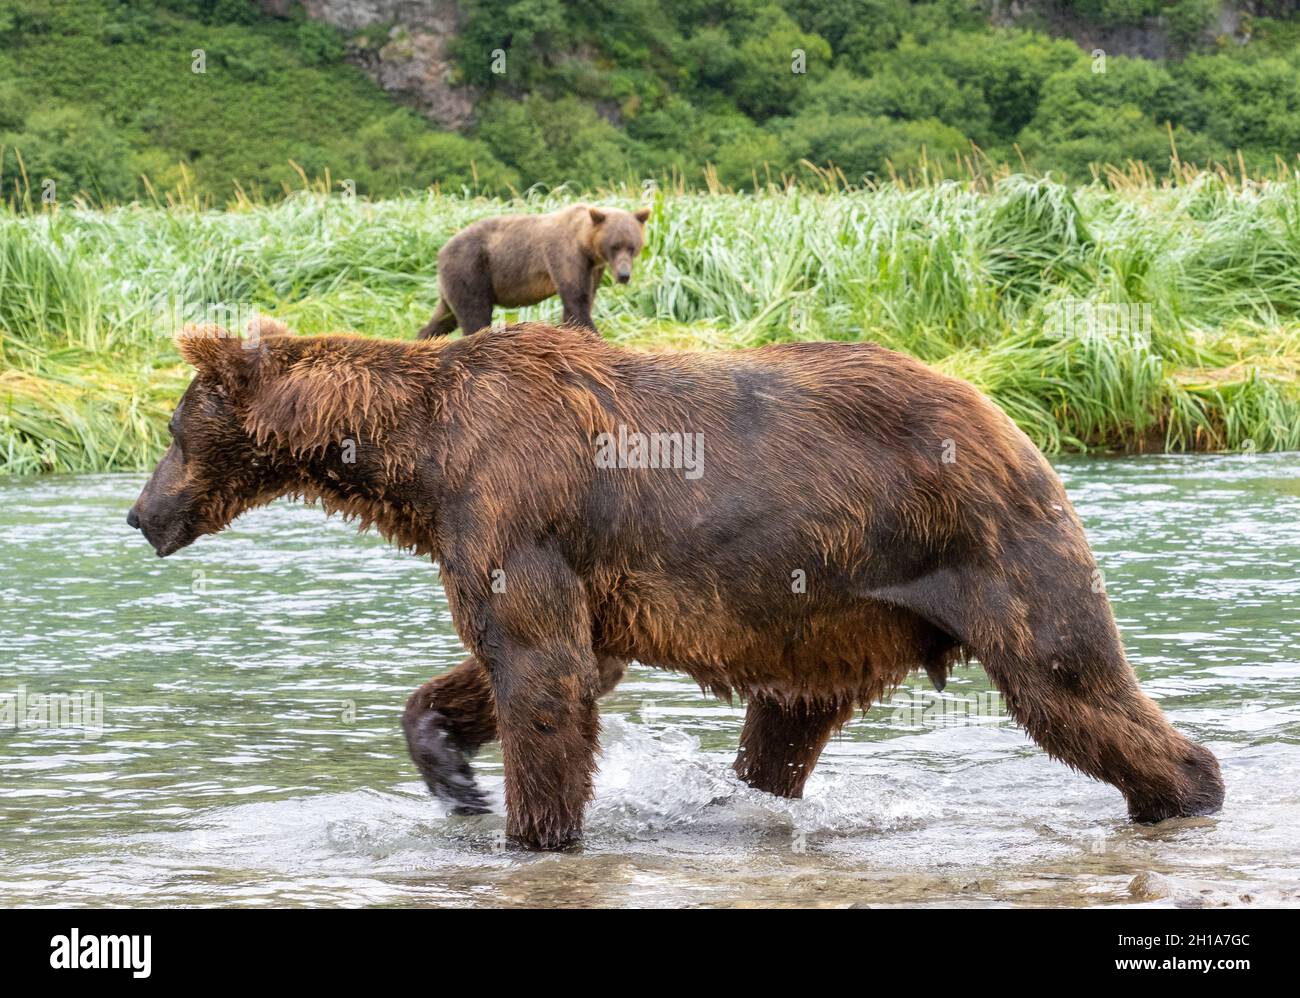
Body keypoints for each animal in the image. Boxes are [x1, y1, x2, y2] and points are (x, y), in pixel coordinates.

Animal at [126, 322, 1222, 852]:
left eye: (174, 430)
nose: (141, 513)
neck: (419, 455)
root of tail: (1008, 415)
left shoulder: (509, 497)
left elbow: (543, 672)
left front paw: (533, 830)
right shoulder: (523, 545)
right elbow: (544, 660)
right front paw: (450, 770)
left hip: (985, 543)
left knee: (1069, 680)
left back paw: (1185, 789)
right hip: (829, 614)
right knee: (780, 736)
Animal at [416, 204, 650, 337]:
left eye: (632, 246)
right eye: (615, 246)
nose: (624, 275)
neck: (585, 244)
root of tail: (440, 251)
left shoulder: (593, 268)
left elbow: (581, 302)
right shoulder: (565, 255)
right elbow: (577, 300)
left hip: (454, 282)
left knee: (444, 317)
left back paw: (423, 337)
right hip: (471, 269)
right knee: (474, 313)